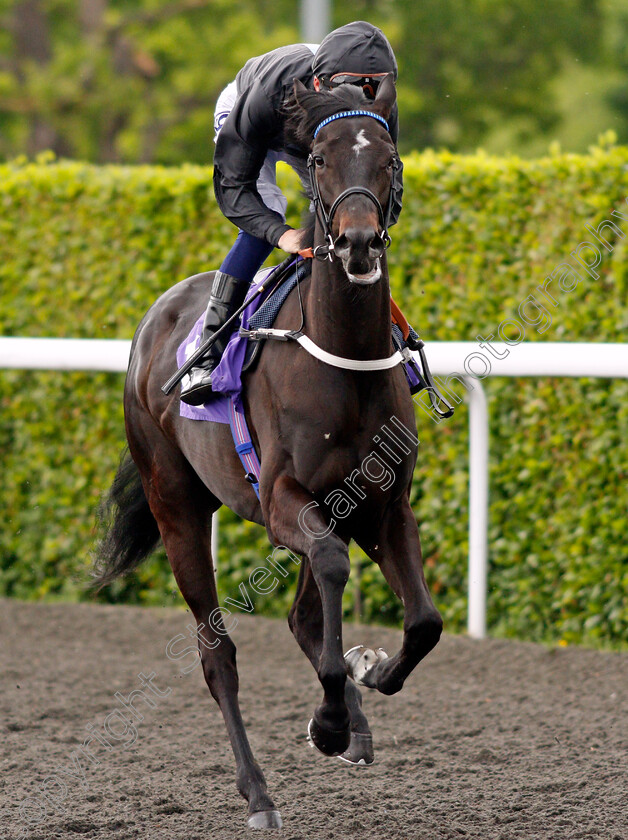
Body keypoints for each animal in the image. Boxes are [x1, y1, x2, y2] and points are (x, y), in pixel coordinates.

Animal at [95, 75, 444, 832]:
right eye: (317, 158)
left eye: (389, 158)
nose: (357, 242)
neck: (343, 358)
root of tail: (156, 317)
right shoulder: (285, 499)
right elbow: (334, 572)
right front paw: (331, 719)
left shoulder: (382, 505)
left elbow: (424, 623)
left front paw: (366, 681)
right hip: (177, 507)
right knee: (217, 655)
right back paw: (258, 792)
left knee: (305, 613)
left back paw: (350, 720)